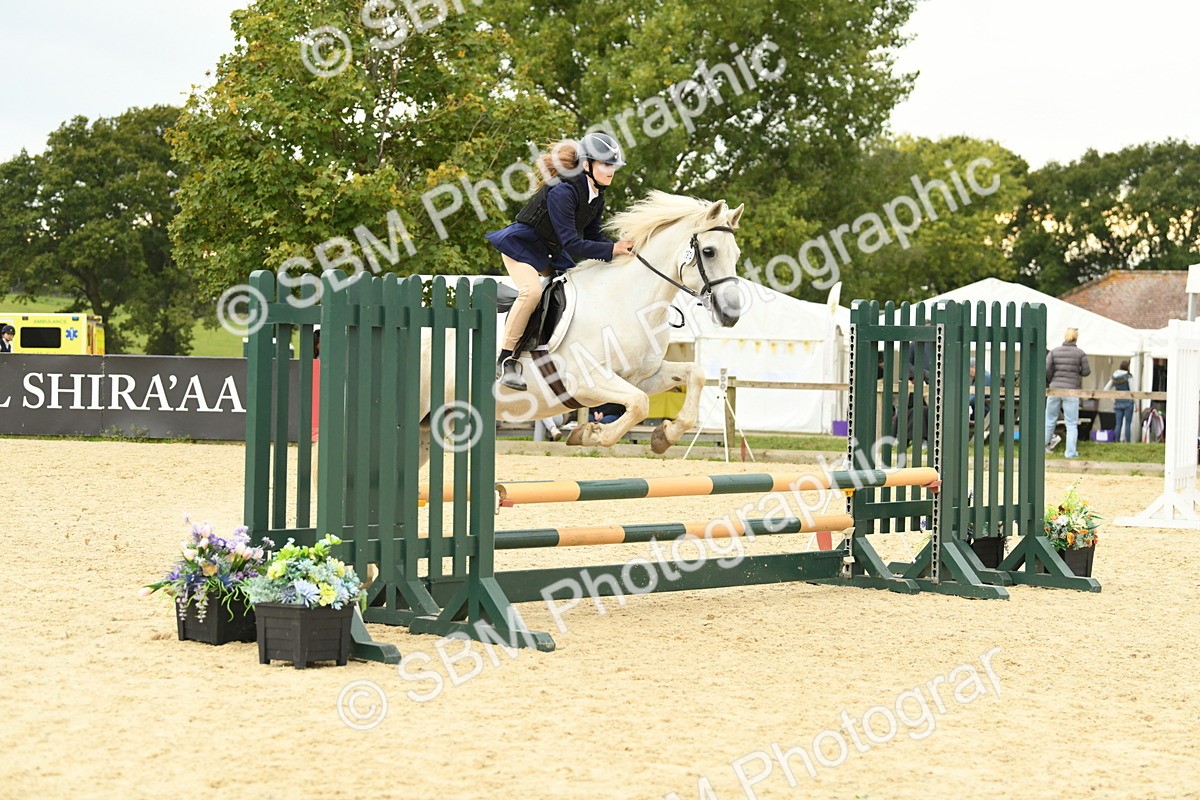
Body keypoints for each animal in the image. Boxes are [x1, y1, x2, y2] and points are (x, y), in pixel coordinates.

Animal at [419, 191, 747, 460]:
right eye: (709, 252)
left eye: (737, 255)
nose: (731, 315)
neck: (624, 299)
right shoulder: (586, 380)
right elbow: (639, 404)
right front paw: (590, 434)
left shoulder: (641, 377)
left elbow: (693, 375)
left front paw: (664, 435)